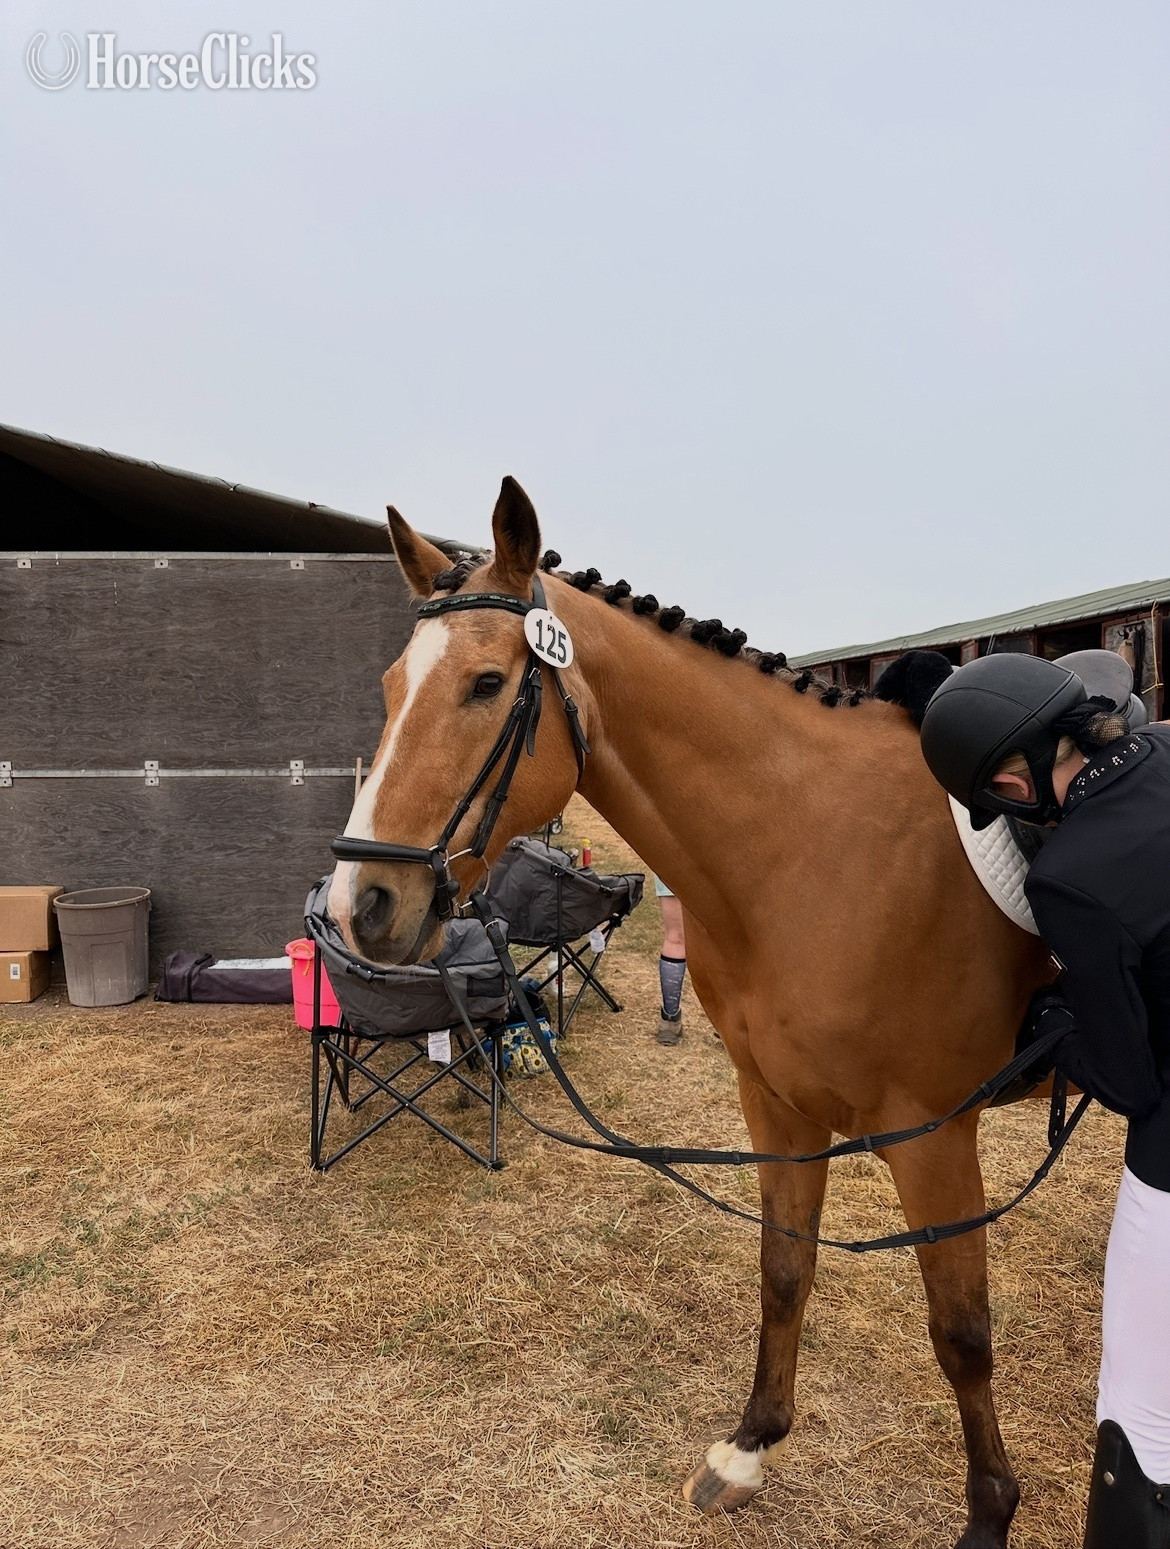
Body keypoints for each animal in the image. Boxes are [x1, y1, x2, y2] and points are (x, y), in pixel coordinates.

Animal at [327, 477, 1053, 1549]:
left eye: (488, 684)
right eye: (385, 686)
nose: (360, 904)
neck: (813, 849)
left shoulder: (933, 1136)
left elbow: (961, 1334)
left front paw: (990, 1515)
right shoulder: (778, 1108)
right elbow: (784, 1268)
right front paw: (748, 1448)